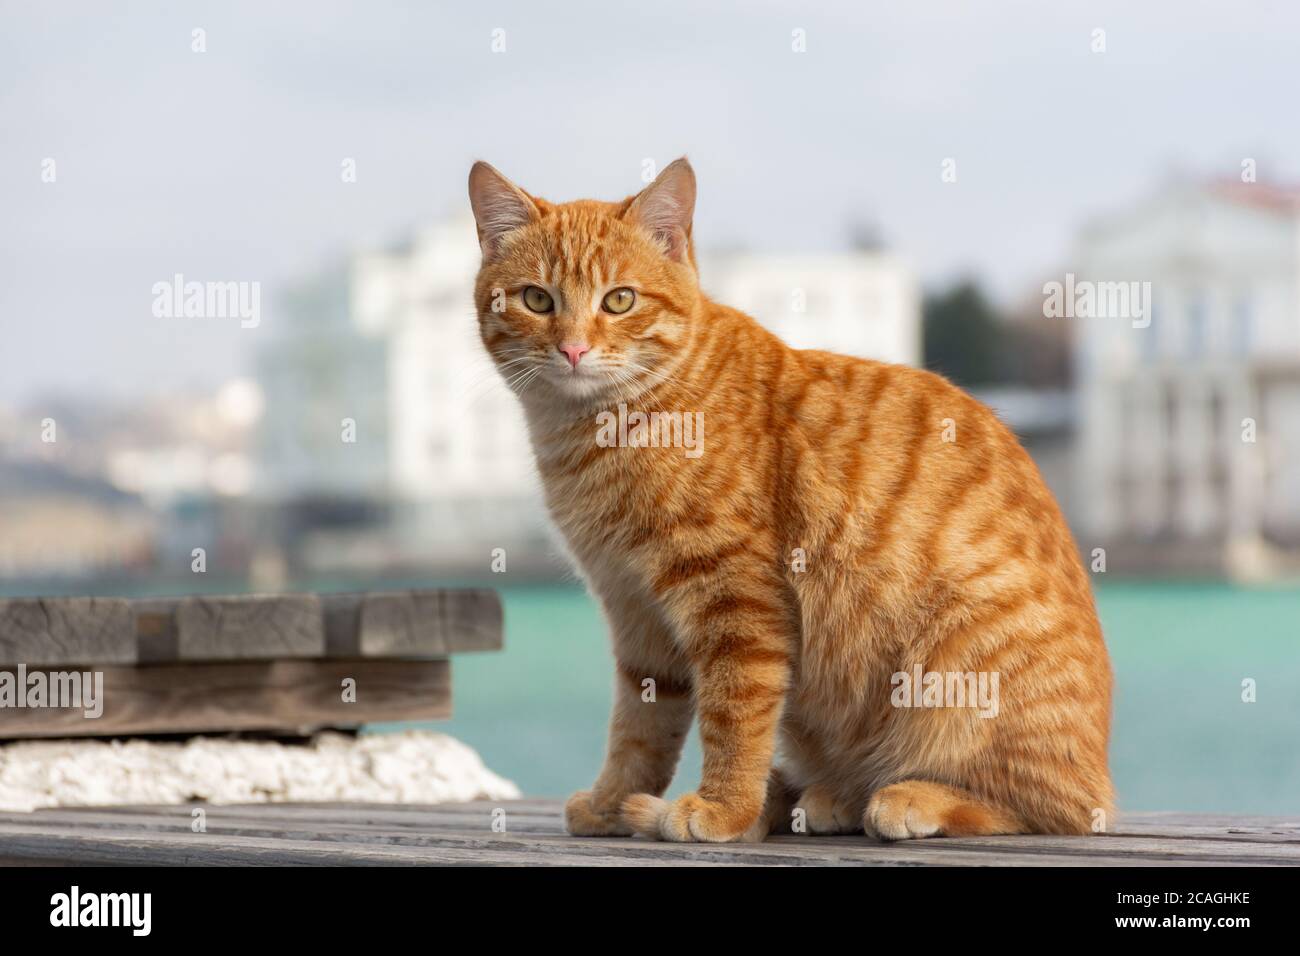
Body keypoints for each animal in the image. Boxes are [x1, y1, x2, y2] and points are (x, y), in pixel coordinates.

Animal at [473, 157, 1112, 842]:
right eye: (537, 299)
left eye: (619, 300)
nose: (572, 349)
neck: (596, 432)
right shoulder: (635, 613)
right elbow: (638, 730)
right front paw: (613, 802)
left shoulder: (735, 601)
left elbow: (734, 716)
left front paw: (722, 807)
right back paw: (822, 799)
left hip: (960, 662)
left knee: (1044, 807)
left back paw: (906, 799)